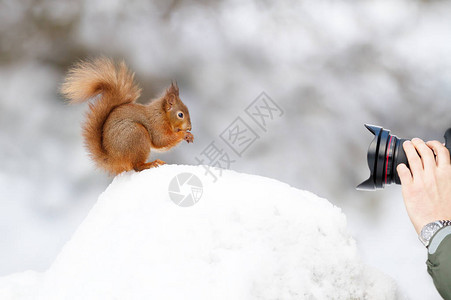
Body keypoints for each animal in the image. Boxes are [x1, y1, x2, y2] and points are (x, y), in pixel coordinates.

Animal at [60, 57, 194, 175]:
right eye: (180, 114)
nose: (190, 128)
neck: (162, 114)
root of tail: (114, 158)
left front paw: (189, 135)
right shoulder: (157, 124)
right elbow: (161, 140)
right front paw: (184, 134)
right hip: (137, 135)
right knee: (137, 166)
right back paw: (150, 164)